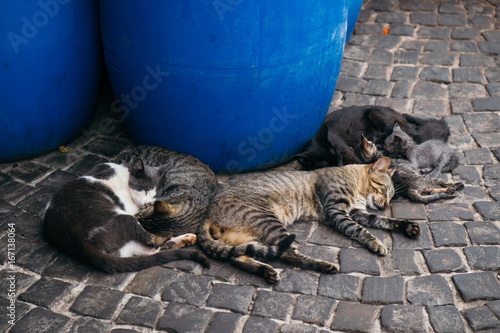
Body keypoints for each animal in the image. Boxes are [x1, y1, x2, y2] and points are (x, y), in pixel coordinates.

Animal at [40, 159, 209, 272]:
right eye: (143, 189)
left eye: (155, 194)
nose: (147, 203)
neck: (124, 175)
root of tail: (81, 247)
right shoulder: (132, 210)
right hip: (124, 218)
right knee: (152, 245)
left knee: (150, 249)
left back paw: (187, 238)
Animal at [197, 157, 420, 282]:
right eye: (384, 190)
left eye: (392, 196)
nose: (386, 205)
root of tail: (206, 215)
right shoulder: (336, 211)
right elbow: (360, 230)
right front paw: (376, 243)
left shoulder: (356, 212)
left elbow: (378, 220)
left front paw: (405, 225)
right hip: (268, 222)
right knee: (288, 254)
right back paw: (324, 266)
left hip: (246, 237)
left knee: (237, 256)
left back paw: (265, 271)